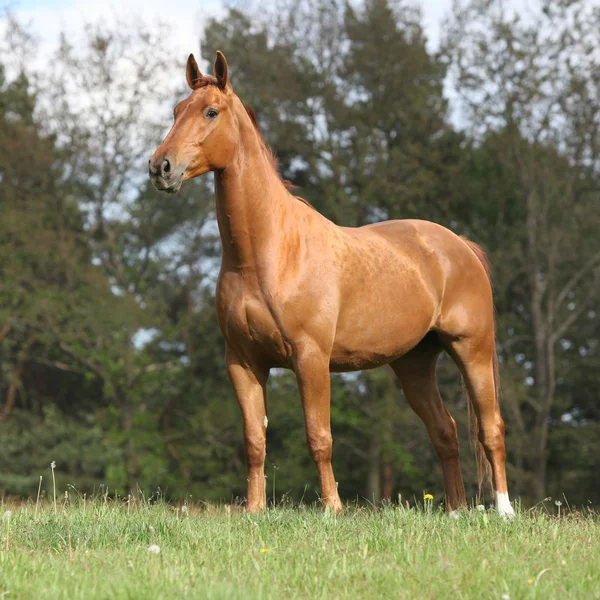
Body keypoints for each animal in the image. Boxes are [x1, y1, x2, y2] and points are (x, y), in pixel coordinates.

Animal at [150, 51, 516, 516]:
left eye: (210, 112)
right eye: (177, 110)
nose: (160, 167)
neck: (268, 254)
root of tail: (460, 246)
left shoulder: (311, 359)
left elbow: (319, 436)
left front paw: (332, 510)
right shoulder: (243, 362)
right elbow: (254, 441)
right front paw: (254, 510)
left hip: (473, 350)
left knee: (491, 428)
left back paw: (503, 511)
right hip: (414, 363)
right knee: (445, 430)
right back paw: (454, 510)